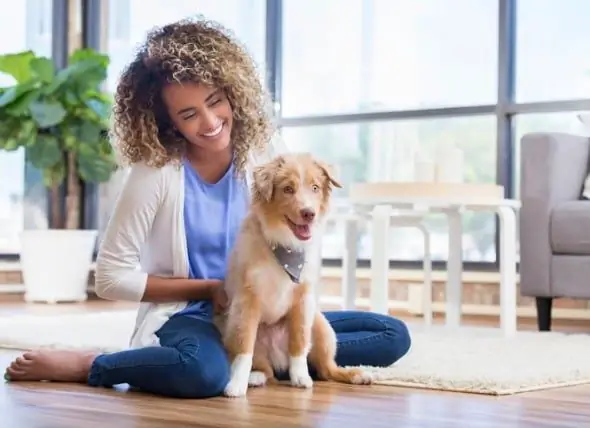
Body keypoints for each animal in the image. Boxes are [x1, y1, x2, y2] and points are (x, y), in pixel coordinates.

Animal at [220, 152, 372, 396]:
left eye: (315, 187)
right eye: (287, 189)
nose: (308, 213)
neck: (286, 245)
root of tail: (277, 359)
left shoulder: (303, 300)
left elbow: (299, 343)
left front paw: (300, 377)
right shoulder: (247, 300)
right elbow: (244, 349)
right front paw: (235, 385)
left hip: (321, 327)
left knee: (327, 369)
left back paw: (356, 374)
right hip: (236, 331)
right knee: (264, 369)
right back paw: (254, 378)